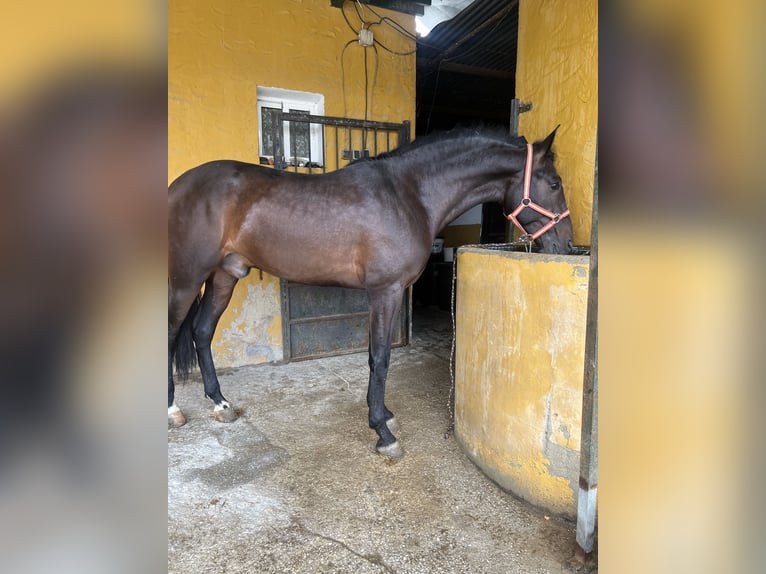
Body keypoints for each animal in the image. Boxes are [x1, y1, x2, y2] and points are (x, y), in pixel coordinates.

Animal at [170, 125, 576, 460]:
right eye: (555, 183)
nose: (568, 246)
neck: (410, 194)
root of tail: (178, 186)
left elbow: (372, 356)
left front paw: (383, 416)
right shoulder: (385, 290)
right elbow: (381, 358)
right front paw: (383, 432)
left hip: (225, 275)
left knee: (201, 331)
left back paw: (221, 404)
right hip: (187, 279)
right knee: (174, 333)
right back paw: (173, 410)